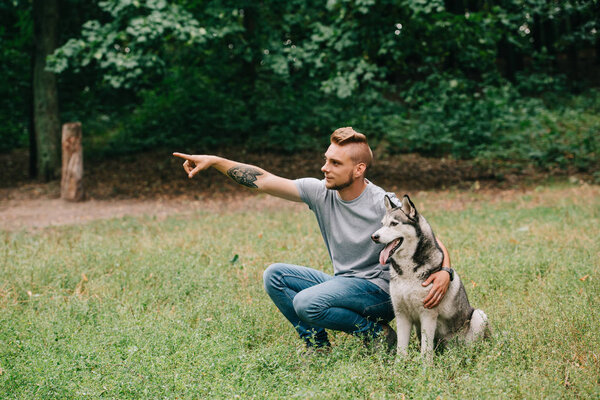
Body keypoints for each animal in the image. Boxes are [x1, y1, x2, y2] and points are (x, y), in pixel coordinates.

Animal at [372, 195, 490, 360]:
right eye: (382, 224)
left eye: (394, 224)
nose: (374, 236)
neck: (408, 273)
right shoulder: (402, 314)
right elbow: (401, 349)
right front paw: (399, 365)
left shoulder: (428, 315)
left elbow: (426, 350)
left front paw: (425, 366)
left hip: (479, 316)